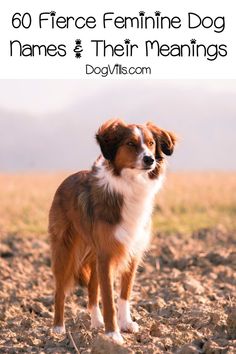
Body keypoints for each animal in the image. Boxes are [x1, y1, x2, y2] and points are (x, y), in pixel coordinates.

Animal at [48, 119, 176, 342]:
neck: (131, 184)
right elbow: (108, 298)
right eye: (130, 143)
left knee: (92, 288)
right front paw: (113, 334)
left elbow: (124, 295)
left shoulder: (131, 252)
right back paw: (58, 328)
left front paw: (126, 324)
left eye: (151, 143)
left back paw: (96, 322)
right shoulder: (107, 254)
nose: (149, 159)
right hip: (65, 250)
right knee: (60, 290)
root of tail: (66, 180)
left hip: (94, 254)